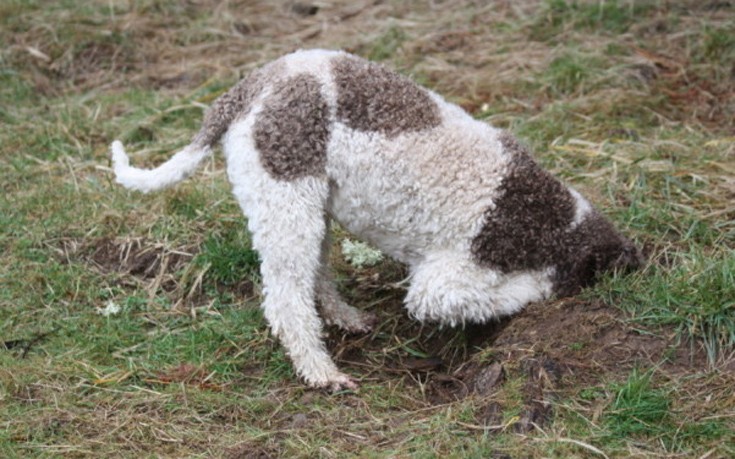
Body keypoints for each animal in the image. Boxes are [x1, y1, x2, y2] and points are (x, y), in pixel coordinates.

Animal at [110, 49, 644, 392]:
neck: (551, 222)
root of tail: (247, 89)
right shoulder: (440, 285)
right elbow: (511, 291)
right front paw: (537, 289)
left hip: (312, 207)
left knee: (315, 276)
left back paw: (344, 318)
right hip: (285, 201)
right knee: (286, 301)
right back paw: (321, 372)